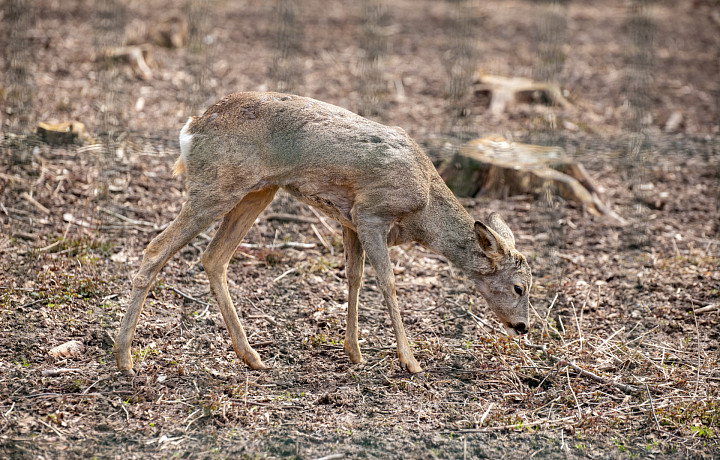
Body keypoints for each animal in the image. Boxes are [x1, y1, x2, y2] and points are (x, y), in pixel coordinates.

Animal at [115, 91, 532, 376]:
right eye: (518, 287)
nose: (524, 327)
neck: (424, 210)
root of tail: (191, 127)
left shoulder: (349, 221)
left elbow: (354, 277)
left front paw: (354, 352)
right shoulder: (371, 212)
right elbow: (388, 282)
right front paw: (410, 361)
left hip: (258, 191)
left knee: (213, 257)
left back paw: (251, 356)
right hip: (217, 186)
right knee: (156, 247)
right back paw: (125, 358)